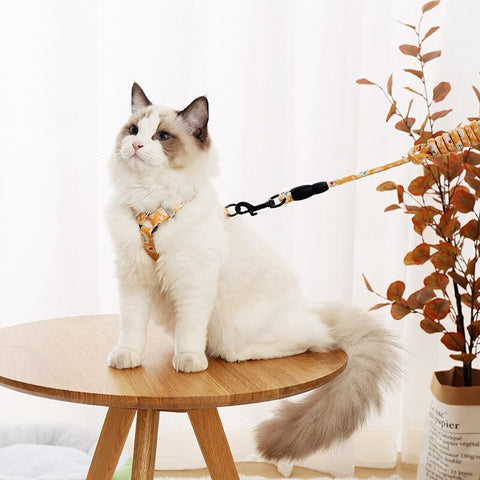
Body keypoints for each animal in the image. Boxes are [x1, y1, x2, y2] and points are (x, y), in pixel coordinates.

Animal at [107, 83, 400, 462]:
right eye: (133, 131)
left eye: (162, 136)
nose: (136, 146)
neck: (152, 205)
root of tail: (309, 309)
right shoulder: (134, 279)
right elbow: (132, 329)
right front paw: (128, 357)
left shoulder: (194, 282)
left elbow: (189, 331)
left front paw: (187, 359)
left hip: (237, 328)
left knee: (314, 340)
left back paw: (231, 354)